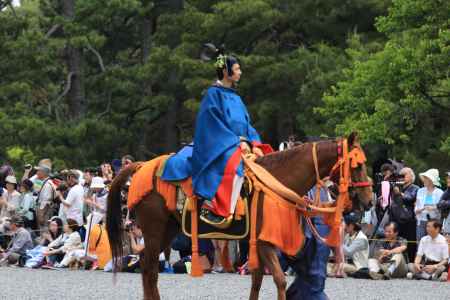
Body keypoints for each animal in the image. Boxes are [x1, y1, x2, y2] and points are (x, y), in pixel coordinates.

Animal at [106, 134, 372, 300]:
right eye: (357, 166)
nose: (368, 199)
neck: (277, 180)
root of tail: (141, 167)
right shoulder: (264, 242)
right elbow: (279, 280)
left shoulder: (258, 243)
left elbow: (258, 280)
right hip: (154, 229)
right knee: (149, 269)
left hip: (167, 230)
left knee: (147, 266)